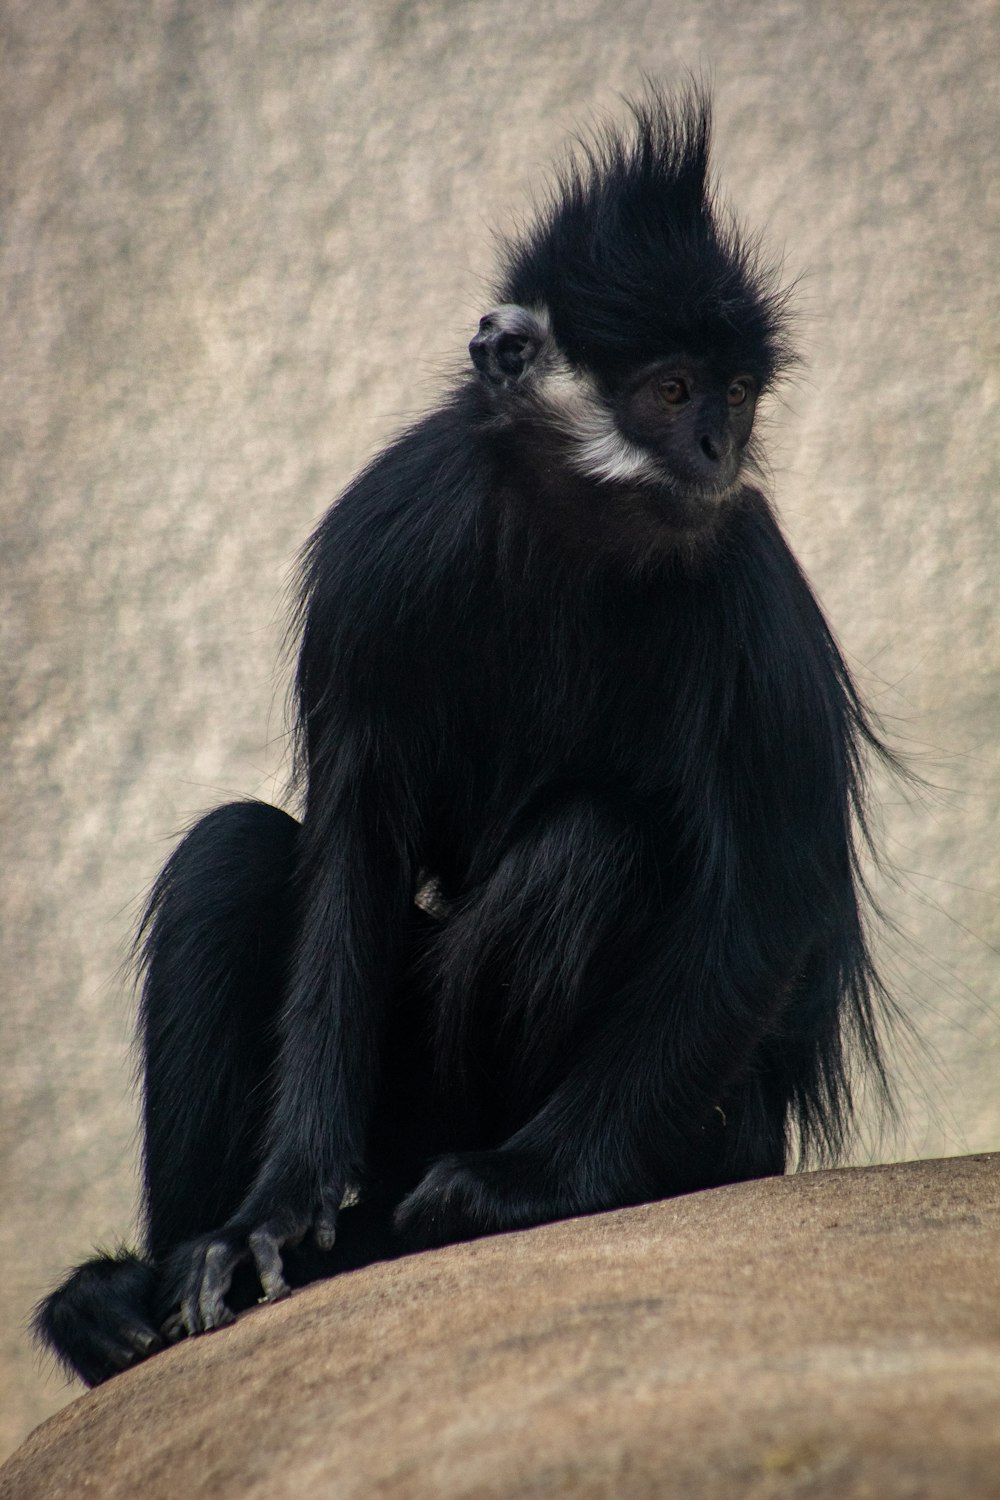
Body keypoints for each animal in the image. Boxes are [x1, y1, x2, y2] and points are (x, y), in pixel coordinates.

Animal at [35, 87, 893, 1386]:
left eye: (737, 396)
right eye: (672, 392)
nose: (717, 452)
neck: (565, 530)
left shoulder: (741, 576)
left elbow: (768, 894)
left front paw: (528, 1183)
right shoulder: (381, 547)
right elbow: (354, 844)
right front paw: (271, 1215)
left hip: (709, 1119)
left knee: (592, 846)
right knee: (231, 852)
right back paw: (146, 1291)